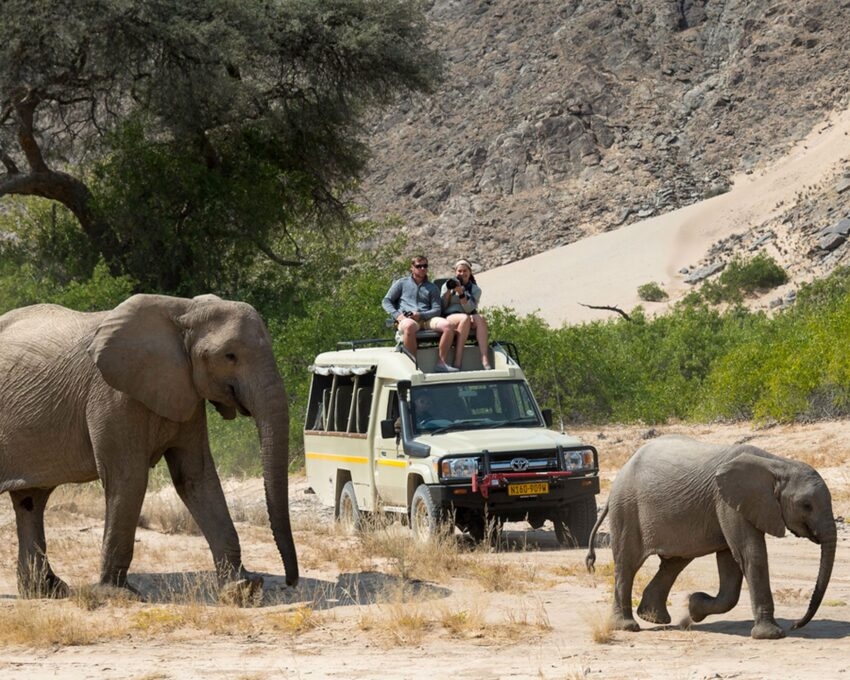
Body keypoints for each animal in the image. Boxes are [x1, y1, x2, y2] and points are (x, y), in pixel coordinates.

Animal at [0, 293, 298, 599]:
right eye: (230, 356)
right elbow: (128, 478)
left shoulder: (185, 391)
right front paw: (116, 595)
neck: (184, 310)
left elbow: (196, 477)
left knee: (31, 500)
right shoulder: (113, 395)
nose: (291, 581)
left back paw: (47, 591)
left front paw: (241, 588)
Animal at [585, 435, 835, 639]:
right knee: (627, 564)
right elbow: (750, 554)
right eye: (807, 505)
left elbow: (731, 564)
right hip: (626, 509)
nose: (796, 625)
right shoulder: (727, 502)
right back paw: (628, 627)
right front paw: (771, 635)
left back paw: (654, 618)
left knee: (674, 562)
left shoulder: (732, 503)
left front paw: (694, 607)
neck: (776, 464)